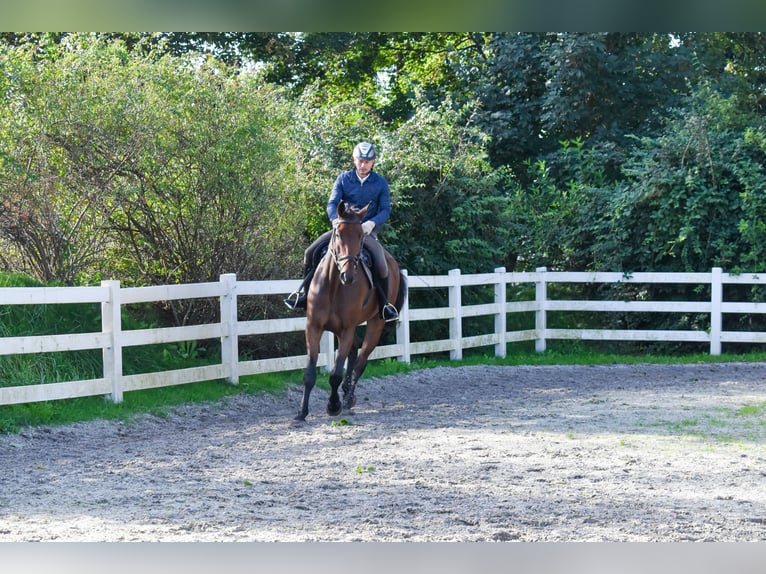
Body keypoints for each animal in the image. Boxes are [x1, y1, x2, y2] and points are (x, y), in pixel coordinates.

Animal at [295, 200, 407, 422]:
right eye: (338, 234)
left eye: (361, 236)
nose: (348, 275)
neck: (333, 285)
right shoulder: (313, 327)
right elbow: (310, 373)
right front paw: (302, 412)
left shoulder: (346, 329)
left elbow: (336, 374)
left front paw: (333, 406)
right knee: (354, 352)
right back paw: (347, 393)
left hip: (375, 324)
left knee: (360, 361)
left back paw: (347, 400)